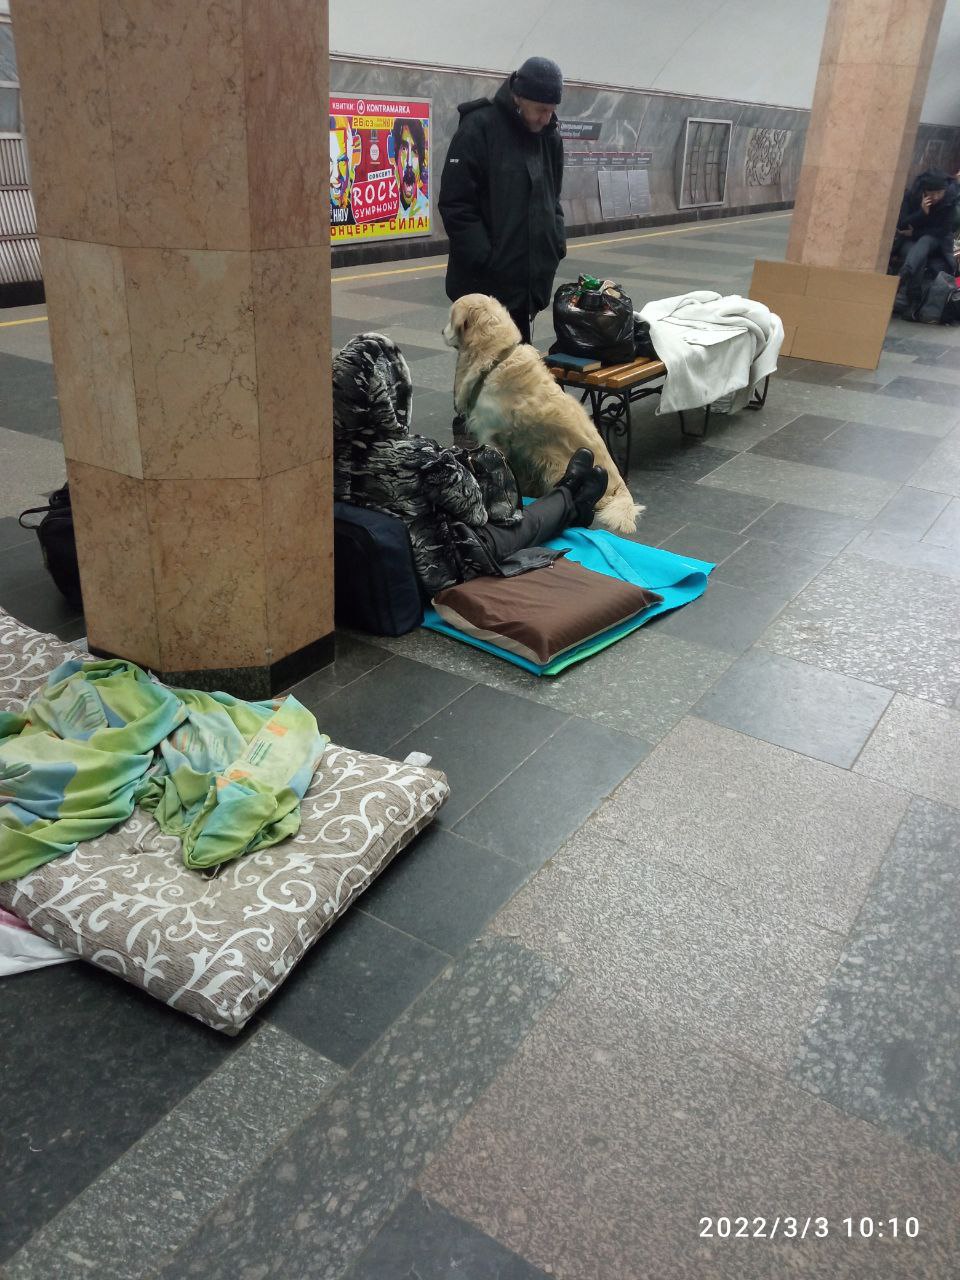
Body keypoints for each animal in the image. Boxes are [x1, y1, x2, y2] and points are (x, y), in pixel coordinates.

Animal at [445, 290, 642, 529]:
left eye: (450, 318)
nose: (442, 331)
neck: (497, 358)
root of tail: (622, 488)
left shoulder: (490, 434)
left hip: (554, 464)